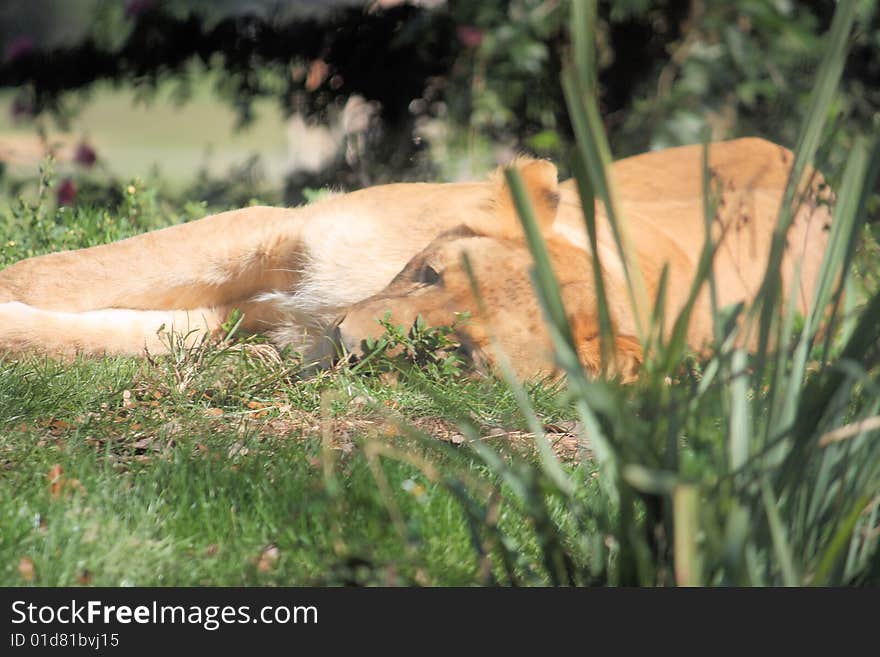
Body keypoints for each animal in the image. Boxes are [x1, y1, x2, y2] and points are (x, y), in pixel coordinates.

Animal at [0, 136, 828, 376]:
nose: (344, 344)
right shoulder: (283, 231)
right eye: (431, 273)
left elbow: (108, 334)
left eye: (455, 352)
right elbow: (63, 272)